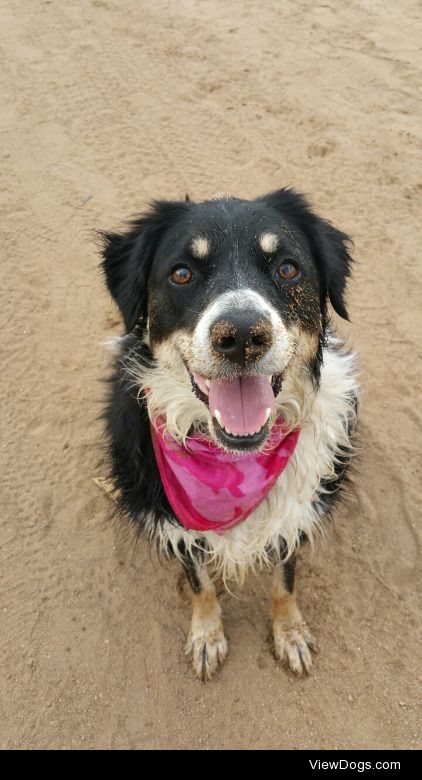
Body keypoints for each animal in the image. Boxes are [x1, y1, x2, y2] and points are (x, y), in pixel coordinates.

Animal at [100, 187, 358, 676]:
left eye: (287, 268)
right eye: (181, 273)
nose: (240, 336)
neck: (234, 460)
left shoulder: (294, 514)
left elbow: (284, 578)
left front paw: (290, 632)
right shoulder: (175, 521)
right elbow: (199, 583)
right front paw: (207, 636)